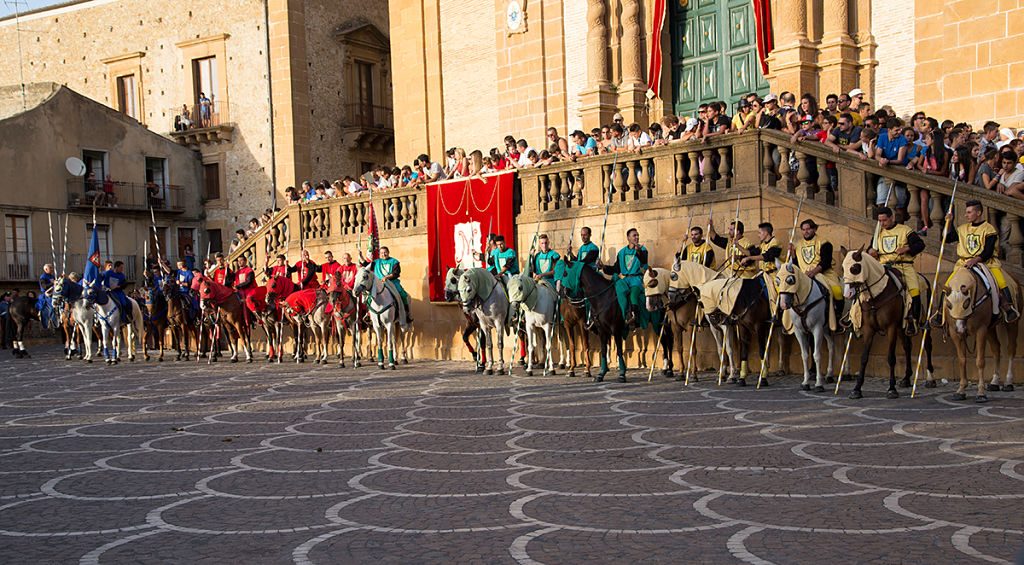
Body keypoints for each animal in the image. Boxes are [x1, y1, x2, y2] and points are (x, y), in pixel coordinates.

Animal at [774, 264, 831, 393]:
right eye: (777, 281)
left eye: (790, 280)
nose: (783, 305)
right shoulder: (799, 331)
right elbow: (804, 355)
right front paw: (805, 382)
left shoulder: (817, 329)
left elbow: (816, 355)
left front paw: (819, 384)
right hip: (825, 329)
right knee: (832, 346)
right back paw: (829, 374)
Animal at [843, 249, 933, 399]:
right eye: (843, 267)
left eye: (855, 268)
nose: (848, 294)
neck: (876, 295)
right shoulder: (869, 330)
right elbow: (864, 357)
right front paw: (857, 389)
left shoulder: (891, 327)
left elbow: (891, 357)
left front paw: (891, 388)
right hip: (903, 328)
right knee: (907, 346)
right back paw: (906, 378)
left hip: (922, 321)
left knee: (927, 344)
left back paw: (930, 378)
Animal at [942, 268, 1015, 401]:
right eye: (948, 304)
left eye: (966, 303)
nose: (960, 328)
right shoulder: (954, 332)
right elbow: (962, 360)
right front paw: (961, 390)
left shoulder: (981, 330)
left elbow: (980, 361)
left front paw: (981, 393)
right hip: (990, 328)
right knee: (996, 348)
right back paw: (994, 382)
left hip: (1011, 324)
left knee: (1011, 348)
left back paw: (1008, 382)